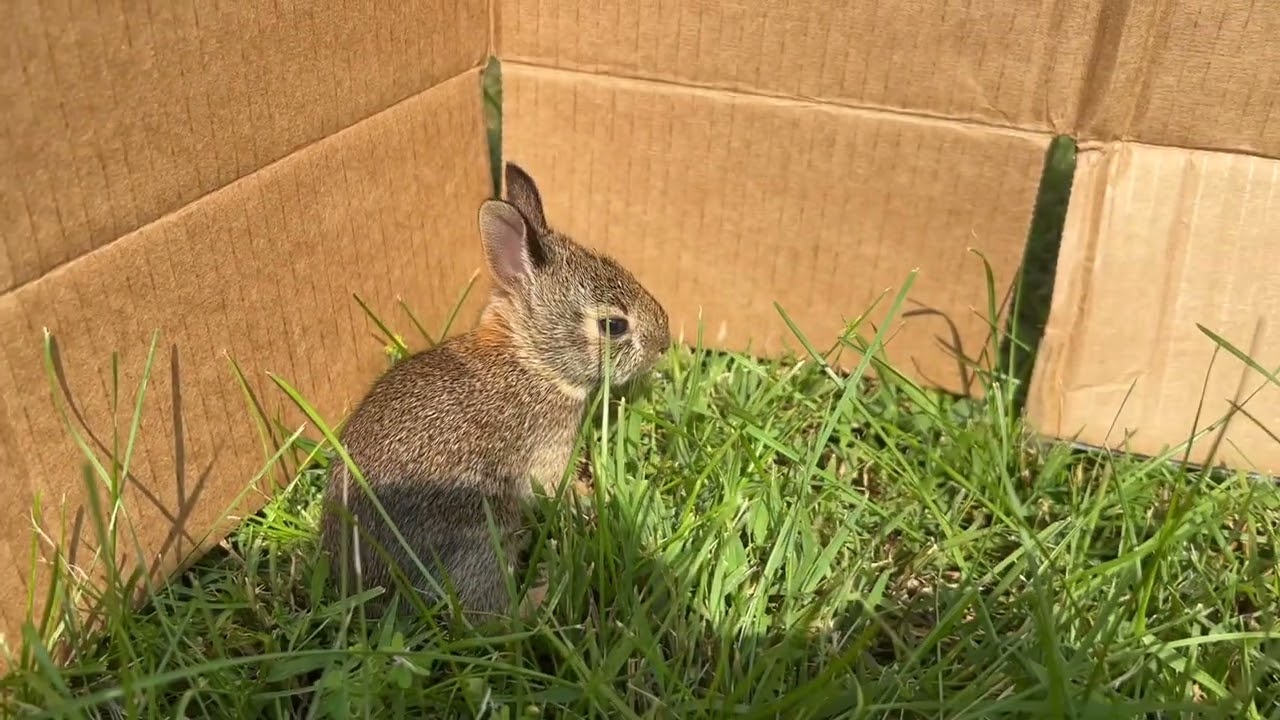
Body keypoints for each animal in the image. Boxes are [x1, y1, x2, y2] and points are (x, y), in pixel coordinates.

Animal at [318, 161, 671, 623]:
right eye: (614, 326)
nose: (665, 343)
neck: (532, 359)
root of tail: (369, 588)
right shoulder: (546, 453)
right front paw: (592, 498)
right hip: (485, 530)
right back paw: (546, 590)